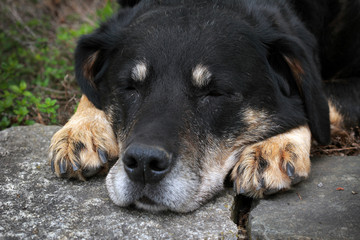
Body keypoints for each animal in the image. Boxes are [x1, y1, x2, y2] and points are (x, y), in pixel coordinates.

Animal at [48, 0, 360, 212]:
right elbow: (91, 90)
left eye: (215, 93)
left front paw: (275, 146)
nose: (144, 164)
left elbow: (313, 104)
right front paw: (81, 129)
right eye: (129, 87)